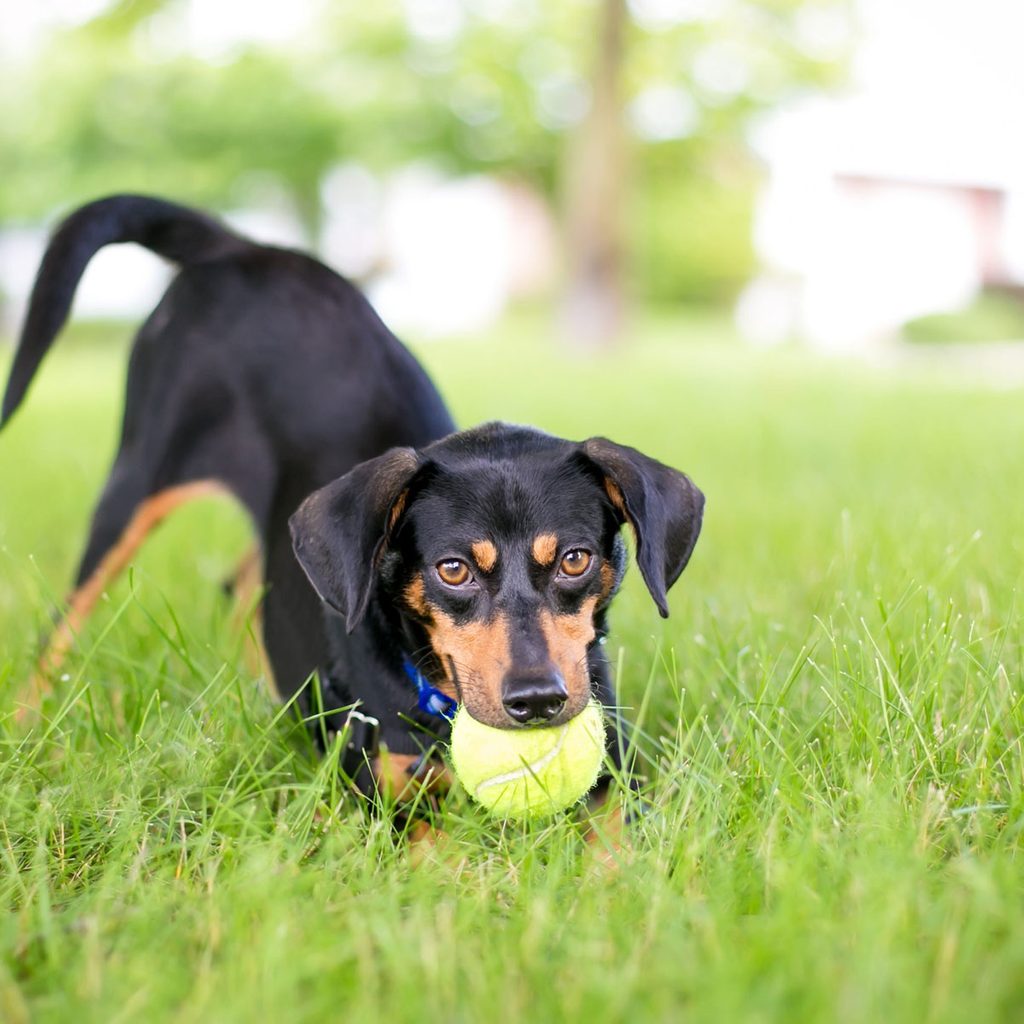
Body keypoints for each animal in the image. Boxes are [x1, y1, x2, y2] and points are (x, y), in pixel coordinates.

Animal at [2, 195, 704, 811]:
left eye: (576, 559)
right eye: (453, 569)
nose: (537, 701)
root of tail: (241, 247)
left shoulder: (618, 774)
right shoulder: (381, 797)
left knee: (242, 584)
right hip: (139, 473)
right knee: (61, 624)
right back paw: (28, 729)